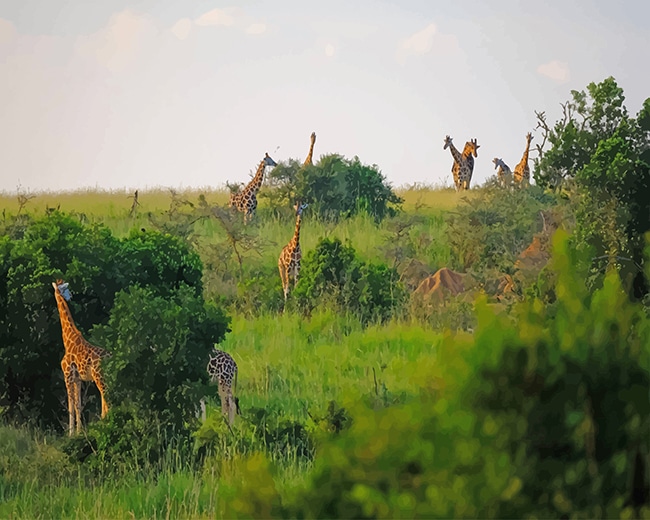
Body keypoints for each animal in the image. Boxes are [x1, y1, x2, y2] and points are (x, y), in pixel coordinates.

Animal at [52, 280, 110, 434]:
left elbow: (71, 405)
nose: (70, 296)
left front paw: (71, 433)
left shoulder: (68, 375)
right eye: (65, 288)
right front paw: (79, 432)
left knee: (106, 396)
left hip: (99, 376)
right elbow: (78, 404)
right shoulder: (78, 379)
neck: (68, 340)